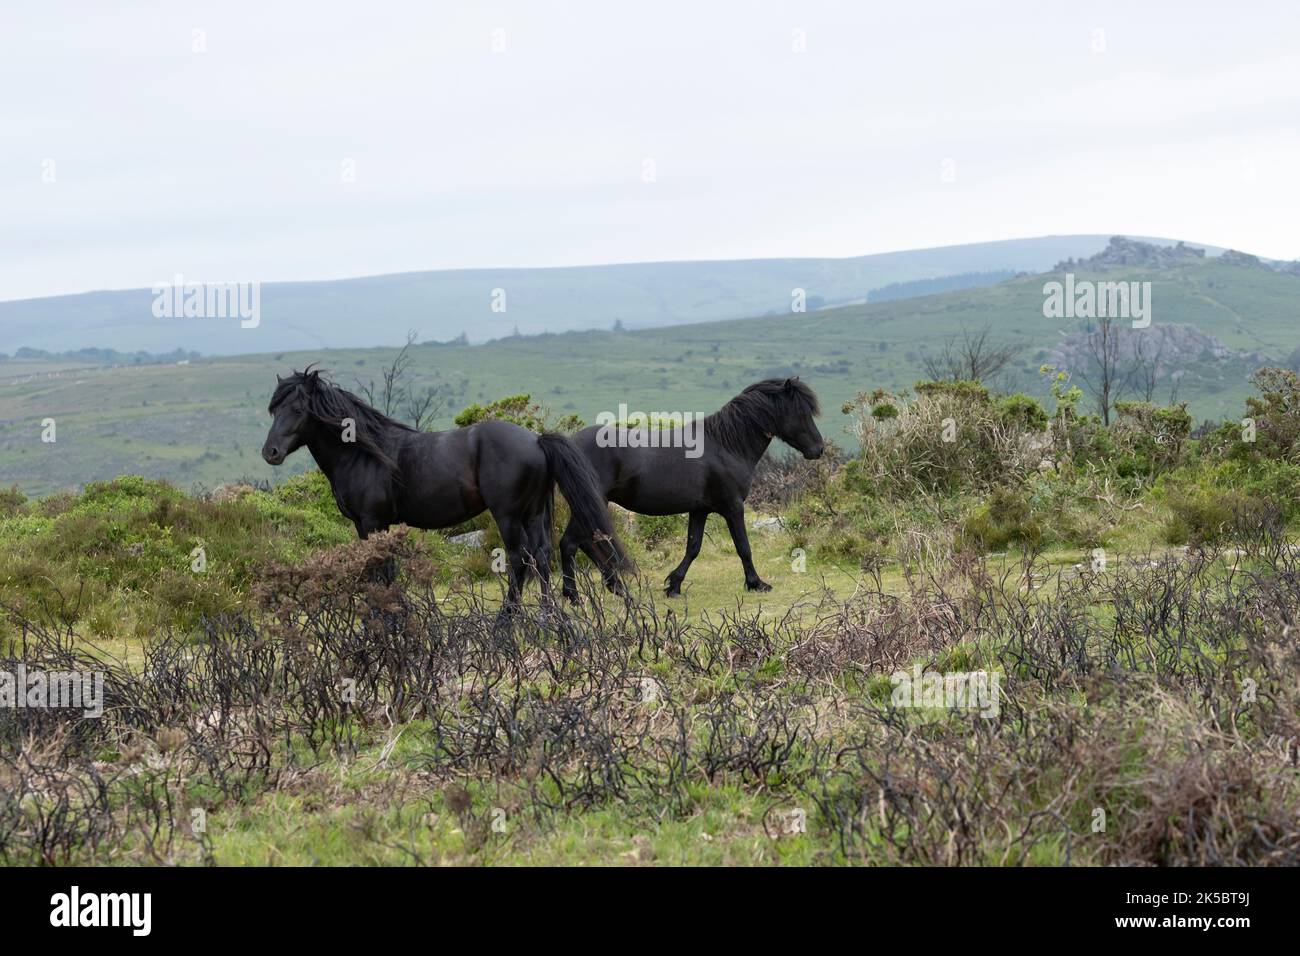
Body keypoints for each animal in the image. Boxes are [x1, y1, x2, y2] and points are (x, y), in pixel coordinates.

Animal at [261, 368, 625, 608]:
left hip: (508, 515)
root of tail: (536, 440)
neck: (363, 452)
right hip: (534, 512)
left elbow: (378, 572)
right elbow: (386, 572)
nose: (270, 453)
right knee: (542, 555)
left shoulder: (371, 523)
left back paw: (506, 620)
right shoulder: (376, 526)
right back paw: (549, 617)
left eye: (298, 409)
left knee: (519, 559)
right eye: (274, 409)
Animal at [559, 377, 823, 599]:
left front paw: (674, 585)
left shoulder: (700, 510)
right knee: (570, 544)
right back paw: (574, 596)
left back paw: (617, 588)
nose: (818, 449)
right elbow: (743, 547)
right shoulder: (733, 507)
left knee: (585, 543)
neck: (726, 445)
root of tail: (569, 446)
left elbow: (693, 547)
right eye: (801, 413)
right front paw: (756, 583)